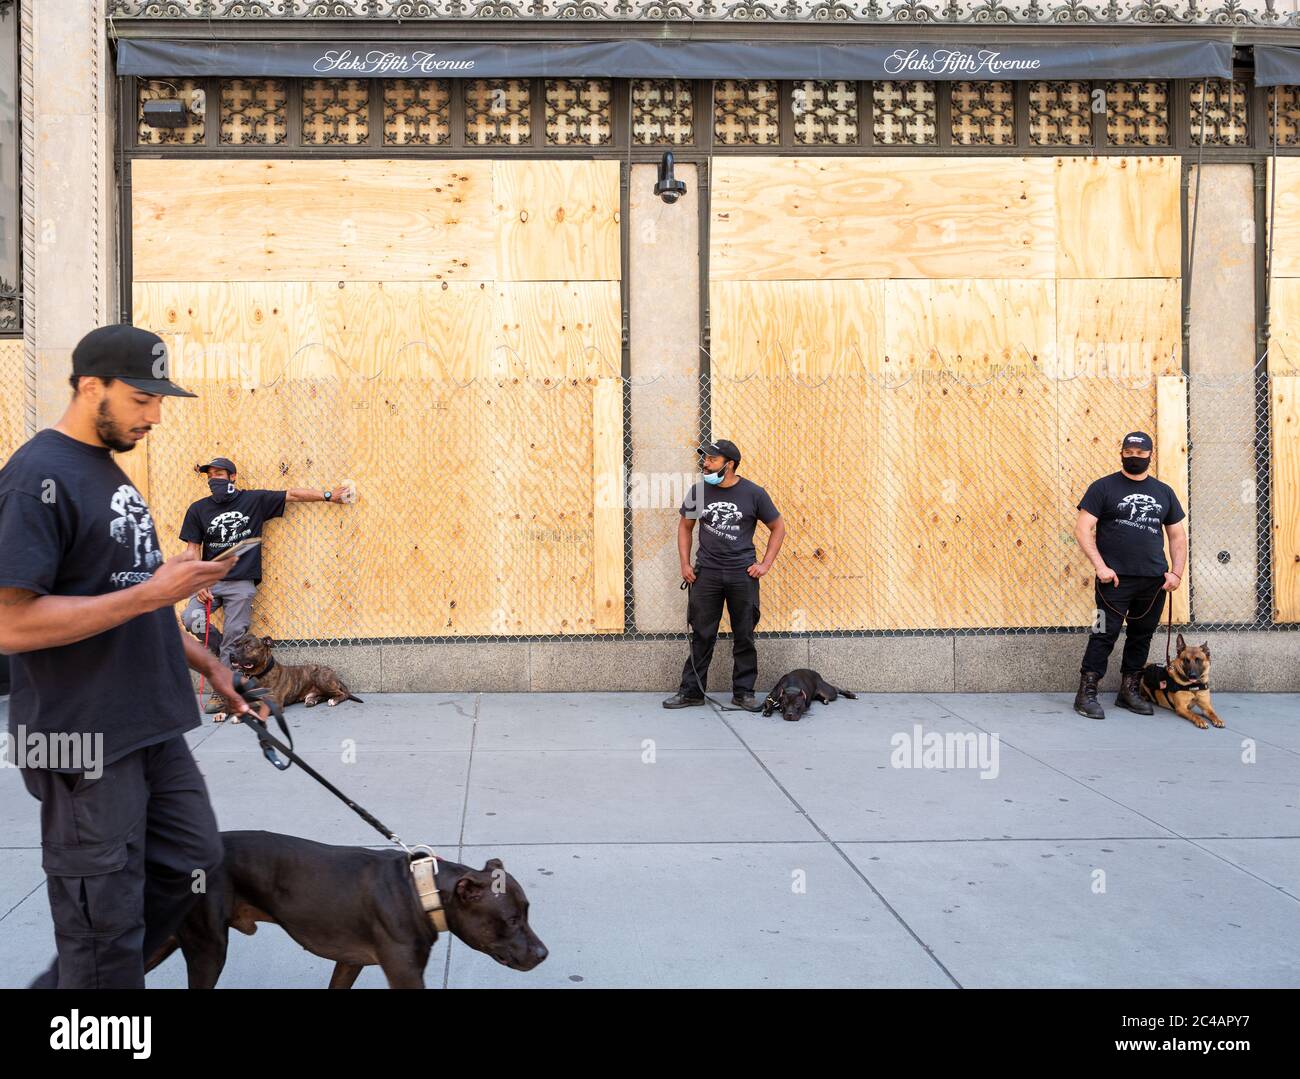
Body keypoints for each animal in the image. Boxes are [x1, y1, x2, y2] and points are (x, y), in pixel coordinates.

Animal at [144, 832, 546, 993]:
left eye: (528, 913)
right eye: (512, 920)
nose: (544, 954)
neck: (421, 891)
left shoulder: (349, 963)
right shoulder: (406, 976)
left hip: (169, 940)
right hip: (208, 950)